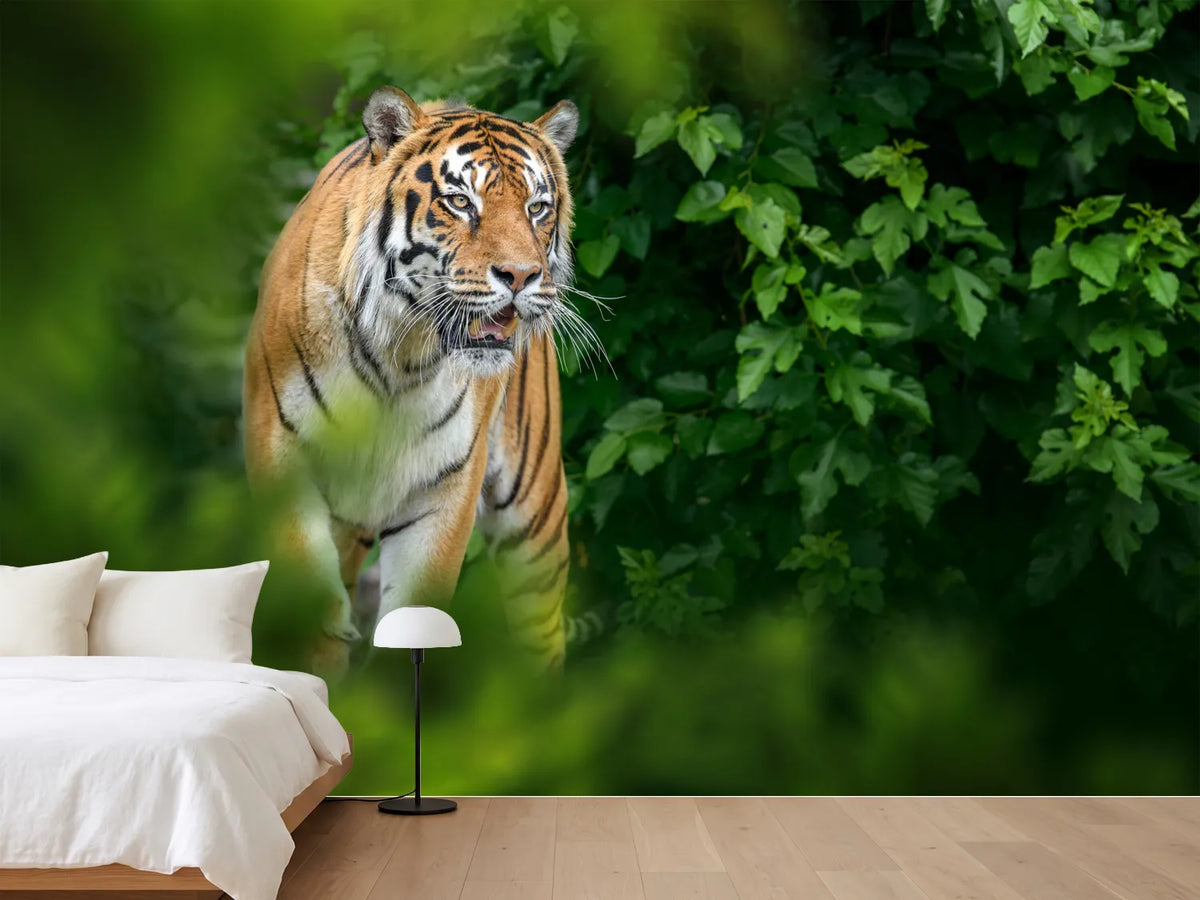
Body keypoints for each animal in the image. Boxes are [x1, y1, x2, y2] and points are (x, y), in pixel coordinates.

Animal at [243, 86, 581, 672]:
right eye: (461, 202)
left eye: (537, 207)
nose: (521, 276)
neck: (399, 356)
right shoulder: (285, 464)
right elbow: (317, 623)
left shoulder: (444, 486)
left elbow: (414, 616)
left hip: (535, 518)